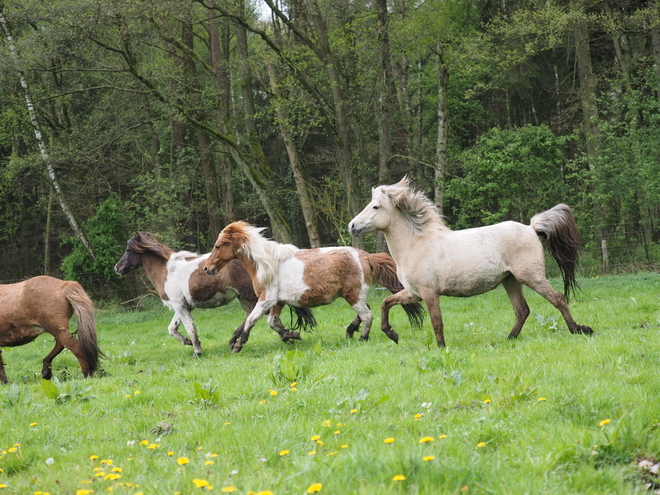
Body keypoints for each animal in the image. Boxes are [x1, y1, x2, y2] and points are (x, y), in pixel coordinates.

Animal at [114, 232, 314, 356]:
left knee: (258, 315)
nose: (117, 268)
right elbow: (172, 329)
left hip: (250, 295)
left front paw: (197, 351)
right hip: (245, 297)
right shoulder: (182, 307)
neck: (167, 271)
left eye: (128, 250)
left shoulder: (180, 306)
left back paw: (283, 336)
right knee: (251, 316)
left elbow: (190, 327)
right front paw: (188, 342)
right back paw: (237, 340)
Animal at [204, 221, 426, 352]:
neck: (267, 264)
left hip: (353, 295)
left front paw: (238, 345)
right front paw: (291, 336)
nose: (207, 268)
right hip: (353, 295)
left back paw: (363, 338)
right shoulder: (278, 302)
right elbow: (273, 323)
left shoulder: (266, 299)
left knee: (367, 315)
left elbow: (251, 320)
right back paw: (349, 332)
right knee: (366, 312)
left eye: (217, 246)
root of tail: (365, 256)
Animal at [350, 178, 592, 348]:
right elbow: (386, 303)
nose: (352, 226)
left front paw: (441, 348)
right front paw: (392, 334)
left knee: (558, 299)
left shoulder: (429, 293)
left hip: (531, 277)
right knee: (522, 310)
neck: (417, 244)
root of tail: (531, 228)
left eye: (375, 207)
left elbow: (436, 321)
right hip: (511, 280)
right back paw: (508, 339)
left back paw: (579, 329)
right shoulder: (414, 293)